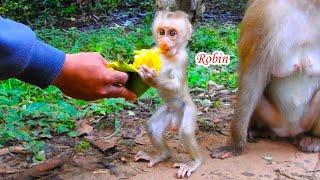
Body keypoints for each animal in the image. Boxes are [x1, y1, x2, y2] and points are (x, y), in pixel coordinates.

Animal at [136, 10, 201, 178]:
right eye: (161, 32)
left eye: (172, 33)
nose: (164, 41)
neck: (168, 55)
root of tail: (175, 120)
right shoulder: (154, 49)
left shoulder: (183, 58)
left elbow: (177, 85)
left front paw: (152, 78)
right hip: (168, 111)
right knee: (152, 126)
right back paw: (162, 155)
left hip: (188, 108)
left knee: (185, 131)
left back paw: (195, 162)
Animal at [211, 0, 320, 159]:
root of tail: (289, 129)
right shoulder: (264, 15)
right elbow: (253, 74)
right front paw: (234, 145)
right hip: (273, 118)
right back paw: (262, 131)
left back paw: (313, 138)